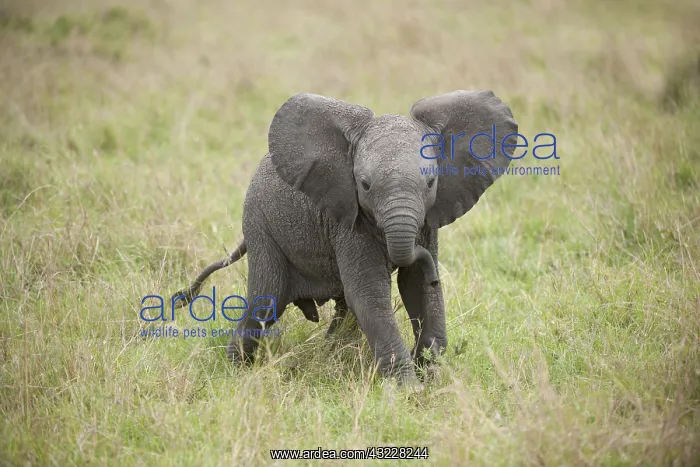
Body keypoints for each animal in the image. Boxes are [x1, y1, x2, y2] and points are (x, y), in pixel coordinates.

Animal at [170, 90, 518, 386]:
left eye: (431, 183)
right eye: (364, 185)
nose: (436, 274)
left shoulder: (427, 223)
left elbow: (416, 288)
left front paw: (431, 378)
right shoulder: (349, 223)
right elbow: (369, 293)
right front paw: (407, 389)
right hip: (261, 227)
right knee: (264, 301)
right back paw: (236, 373)